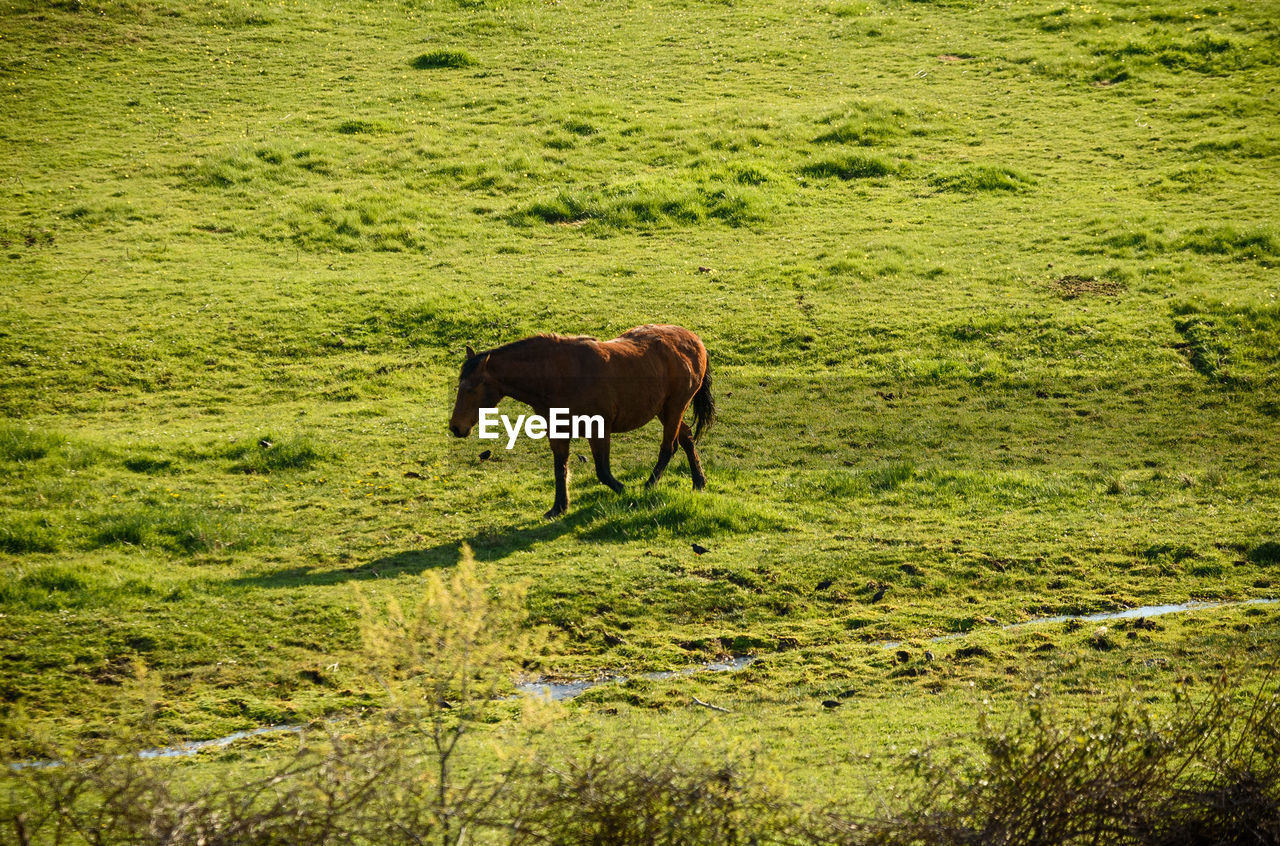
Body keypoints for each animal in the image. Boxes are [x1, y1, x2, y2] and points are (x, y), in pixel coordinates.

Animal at [450, 323, 716, 514]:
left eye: (471, 388)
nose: (455, 427)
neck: (558, 376)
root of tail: (694, 340)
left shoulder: (598, 428)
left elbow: (603, 471)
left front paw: (624, 490)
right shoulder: (557, 432)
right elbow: (560, 469)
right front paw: (559, 507)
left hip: (675, 407)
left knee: (669, 447)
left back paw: (650, 485)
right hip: (665, 410)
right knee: (687, 439)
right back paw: (699, 482)